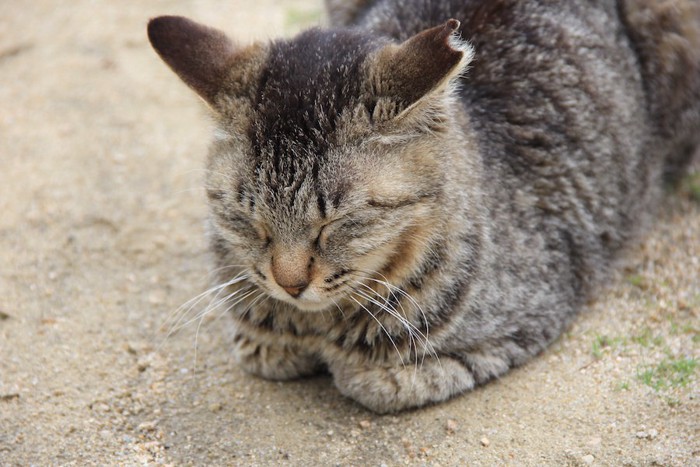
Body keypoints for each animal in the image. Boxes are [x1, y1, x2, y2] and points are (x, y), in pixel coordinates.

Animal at [148, 0, 700, 414]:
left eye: (337, 223)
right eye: (249, 220)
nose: (290, 283)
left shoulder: (531, 311)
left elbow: (379, 378)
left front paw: (352, 362)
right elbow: (256, 338)